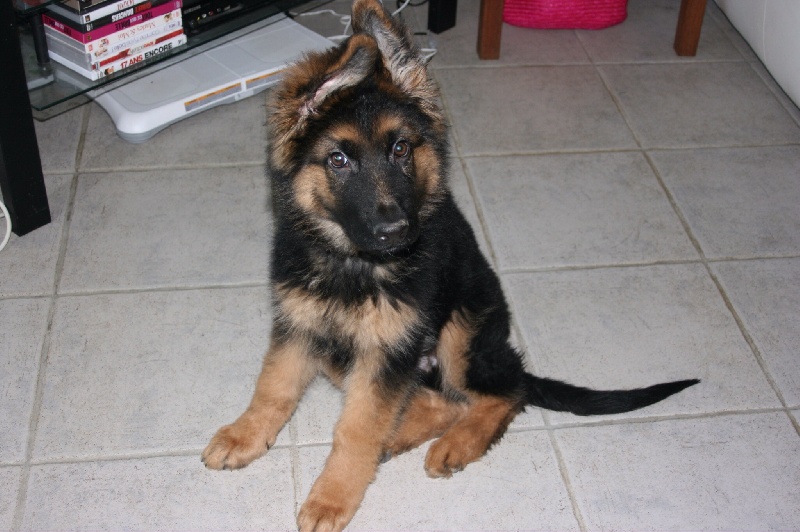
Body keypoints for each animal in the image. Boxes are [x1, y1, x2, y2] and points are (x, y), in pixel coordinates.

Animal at [203, 2, 696, 528]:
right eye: (337, 160)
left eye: (401, 149)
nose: (397, 231)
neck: (352, 264)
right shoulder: (301, 326)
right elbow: (274, 387)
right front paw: (245, 434)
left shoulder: (387, 350)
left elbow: (356, 428)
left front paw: (332, 496)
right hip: (350, 356)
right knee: (440, 401)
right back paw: (402, 436)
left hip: (461, 332)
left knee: (500, 394)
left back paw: (454, 444)